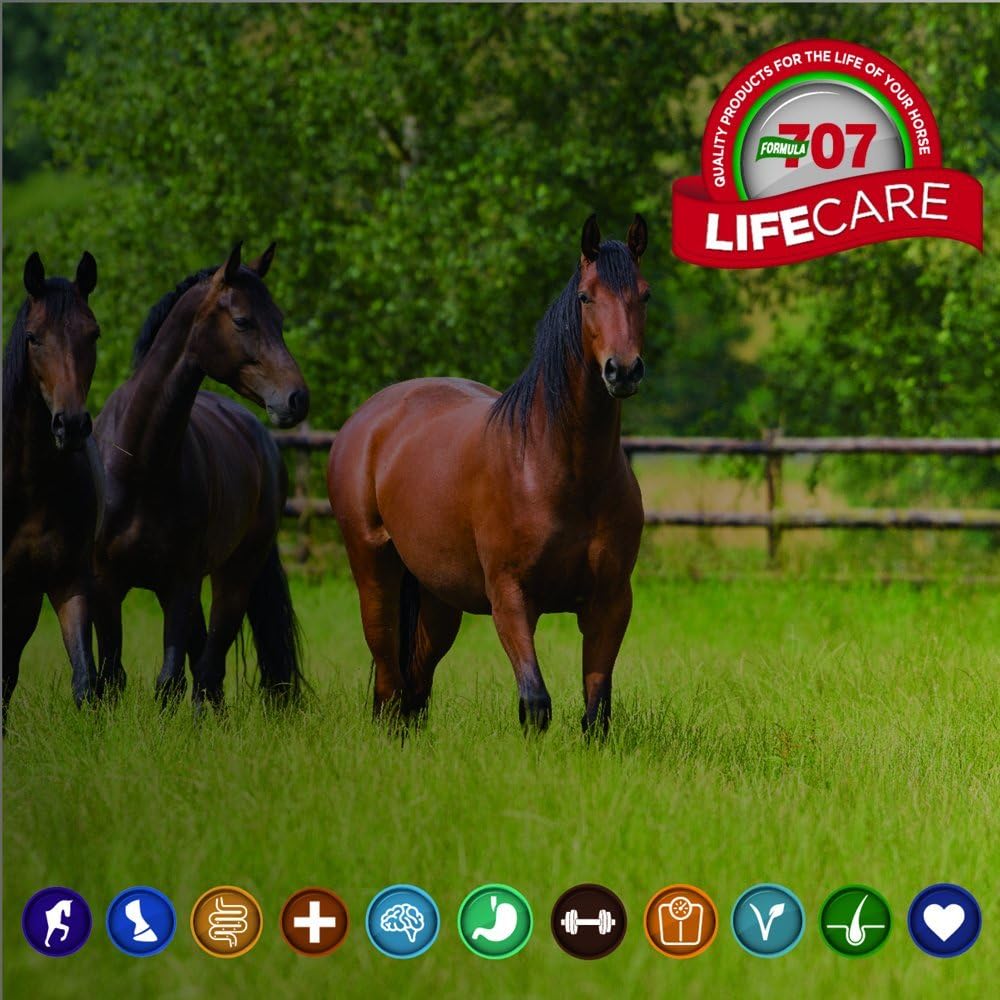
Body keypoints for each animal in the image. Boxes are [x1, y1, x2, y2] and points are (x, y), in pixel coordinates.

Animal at [92, 242, 309, 708]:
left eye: (280, 319)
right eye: (243, 320)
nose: (297, 399)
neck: (140, 463)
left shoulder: (182, 583)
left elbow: (170, 681)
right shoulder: (106, 583)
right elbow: (111, 676)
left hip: (233, 578)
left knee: (210, 668)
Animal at [328, 214, 649, 734]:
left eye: (645, 295)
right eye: (586, 297)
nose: (622, 371)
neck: (559, 469)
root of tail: (369, 418)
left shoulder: (610, 602)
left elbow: (596, 712)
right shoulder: (511, 598)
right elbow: (535, 704)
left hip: (439, 597)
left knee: (415, 683)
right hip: (374, 572)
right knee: (389, 680)